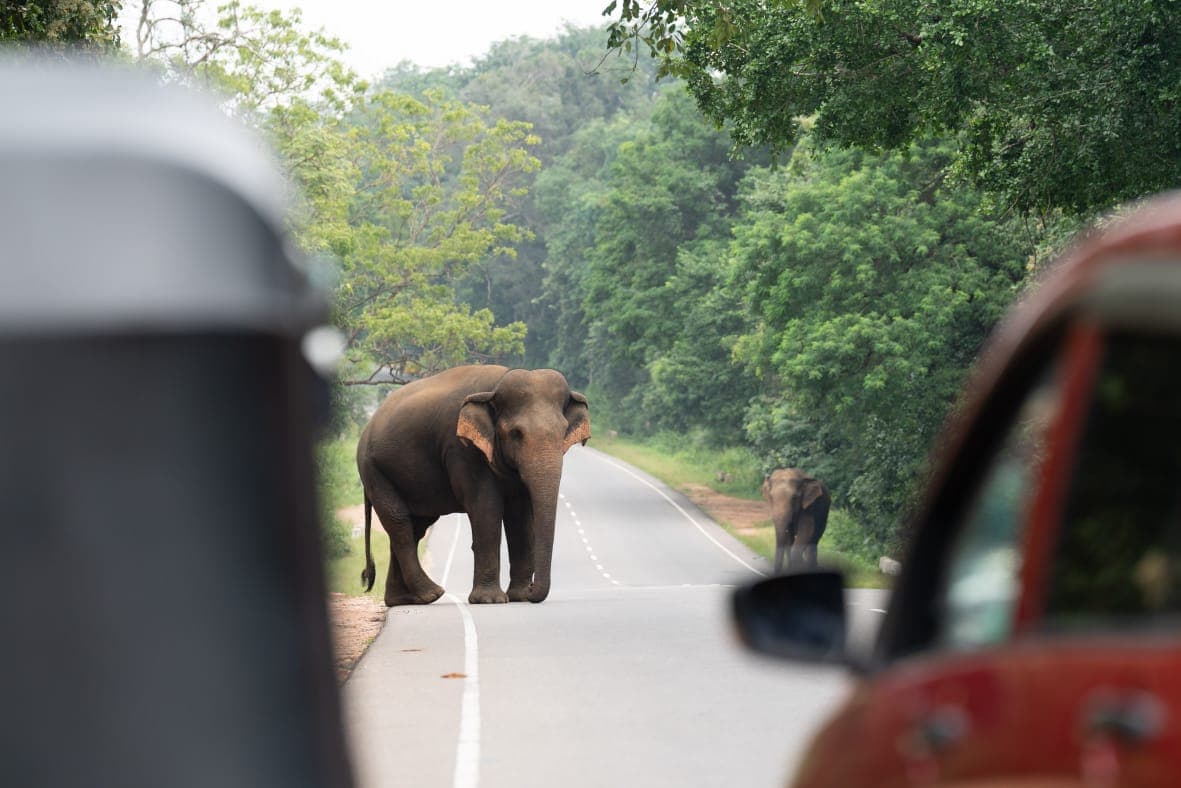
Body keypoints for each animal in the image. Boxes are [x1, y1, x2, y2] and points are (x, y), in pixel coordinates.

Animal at [356, 365, 590, 606]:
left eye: (563, 431)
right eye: (516, 433)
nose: (533, 589)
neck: (496, 386)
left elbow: (520, 515)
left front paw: (520, 596)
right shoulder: (462, 449)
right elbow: (486, 507)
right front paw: (490, 600)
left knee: (416, 526)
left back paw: (404, 600)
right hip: (374, 471)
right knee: (399, 523)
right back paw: (432, 593)